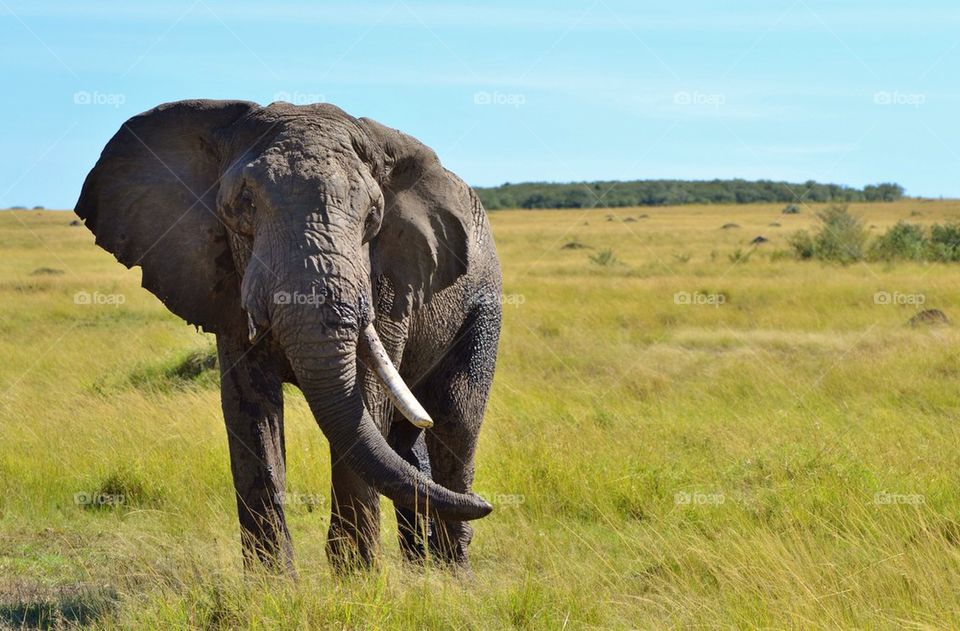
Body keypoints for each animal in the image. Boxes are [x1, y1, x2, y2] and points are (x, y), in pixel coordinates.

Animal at [75, 97, 502, 572]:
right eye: (243, 204)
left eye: (373, 216)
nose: (489, 504)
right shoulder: (224, 283)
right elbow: (250, 408)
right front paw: (272, 583)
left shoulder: (389, 281)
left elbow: (367, 400)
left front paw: (355, 578)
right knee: (406, 444)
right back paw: (420, 565)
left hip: (483, 303)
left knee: (454, 420)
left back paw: (451, 573)